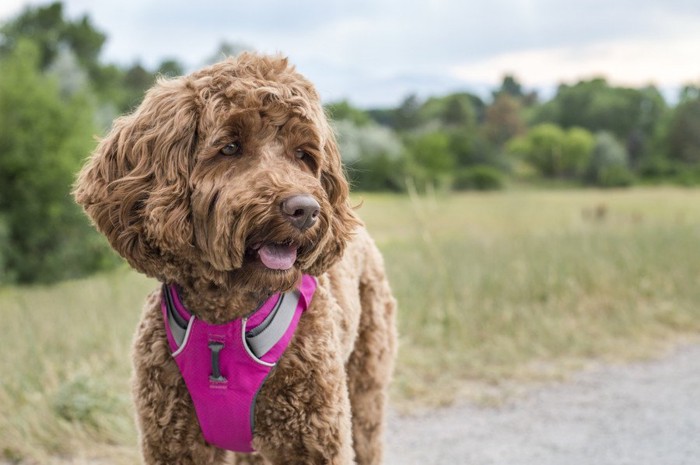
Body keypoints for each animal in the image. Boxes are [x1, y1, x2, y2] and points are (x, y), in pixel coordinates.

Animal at [75, 53, 400, 464]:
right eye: (230, 147)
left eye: (302, 155)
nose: (305, 210)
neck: (226, 316)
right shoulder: (174, 441)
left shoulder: (314, 440)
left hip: (366, 385)